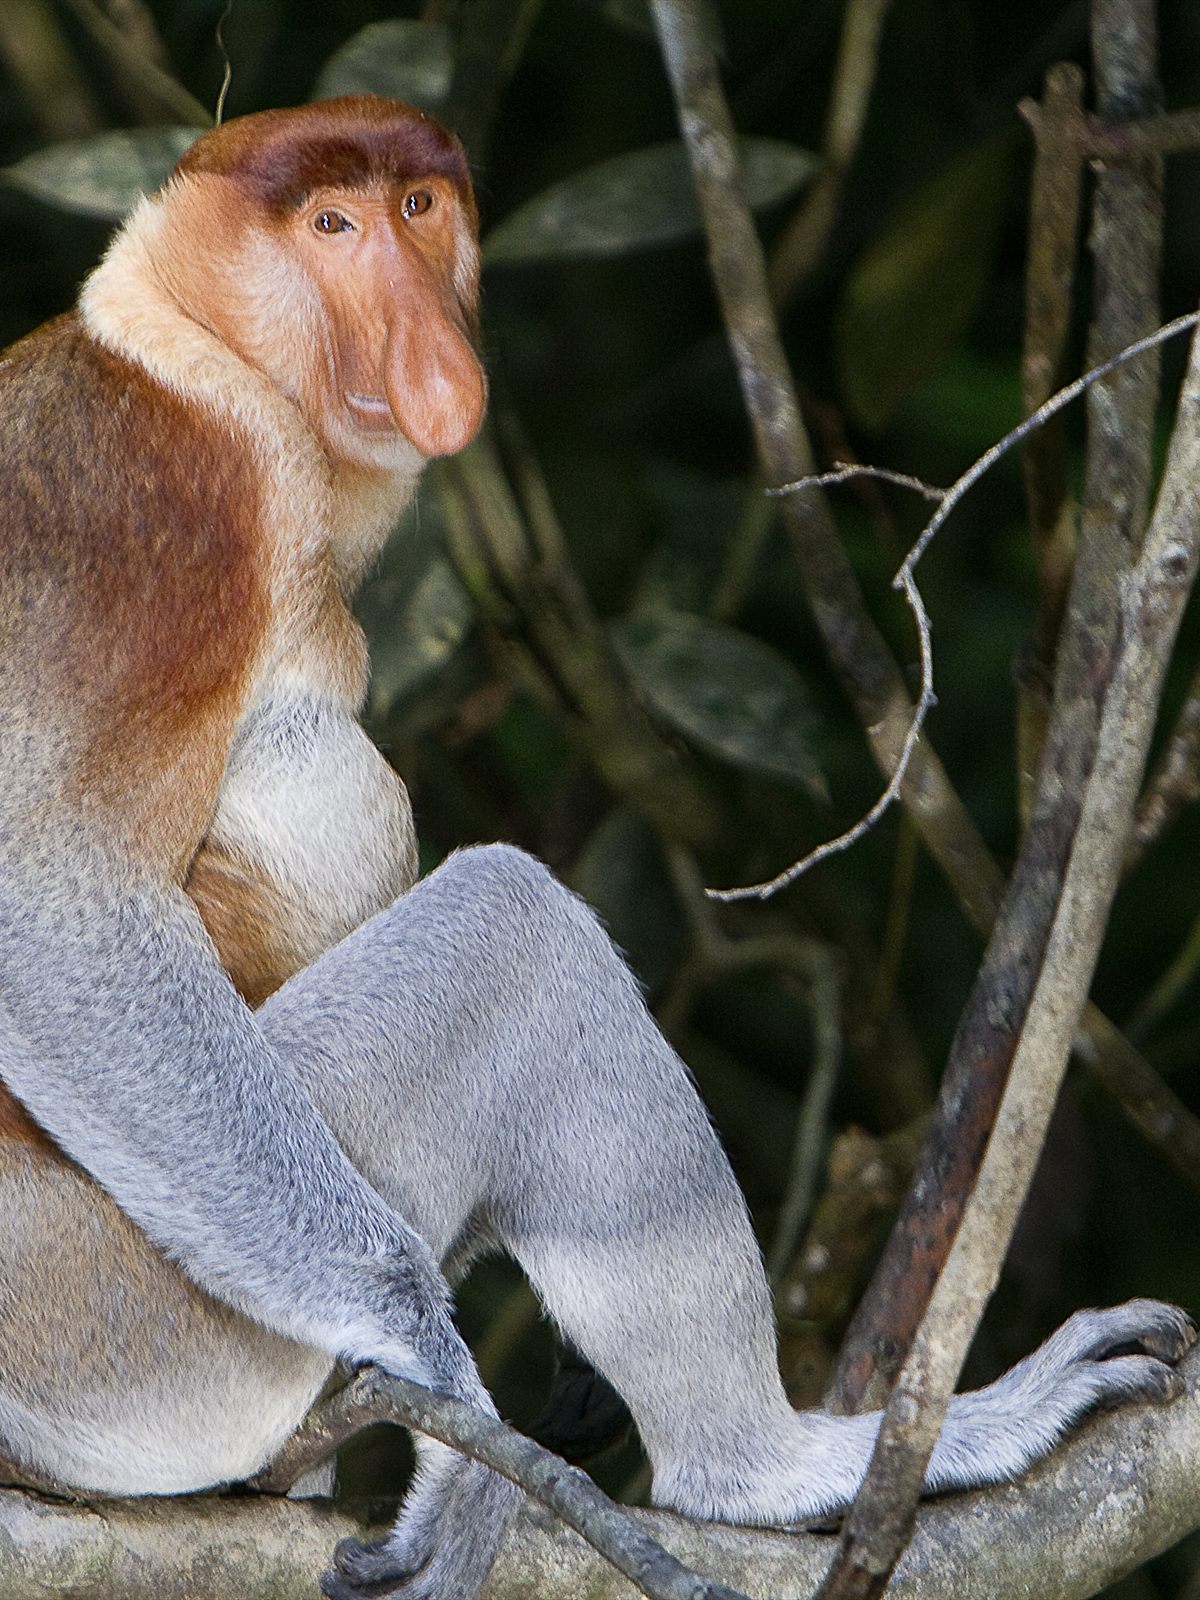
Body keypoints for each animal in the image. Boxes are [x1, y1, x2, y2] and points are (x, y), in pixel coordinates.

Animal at [0, 95, 1192, 1600]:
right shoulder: (164, 502)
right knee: (519, 925)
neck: (193, 350)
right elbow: (49, 896)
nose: (431, 351)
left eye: (417, 211)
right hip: (128, 1309)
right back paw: (761, 1465)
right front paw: (436, 1370)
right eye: (329, 223)